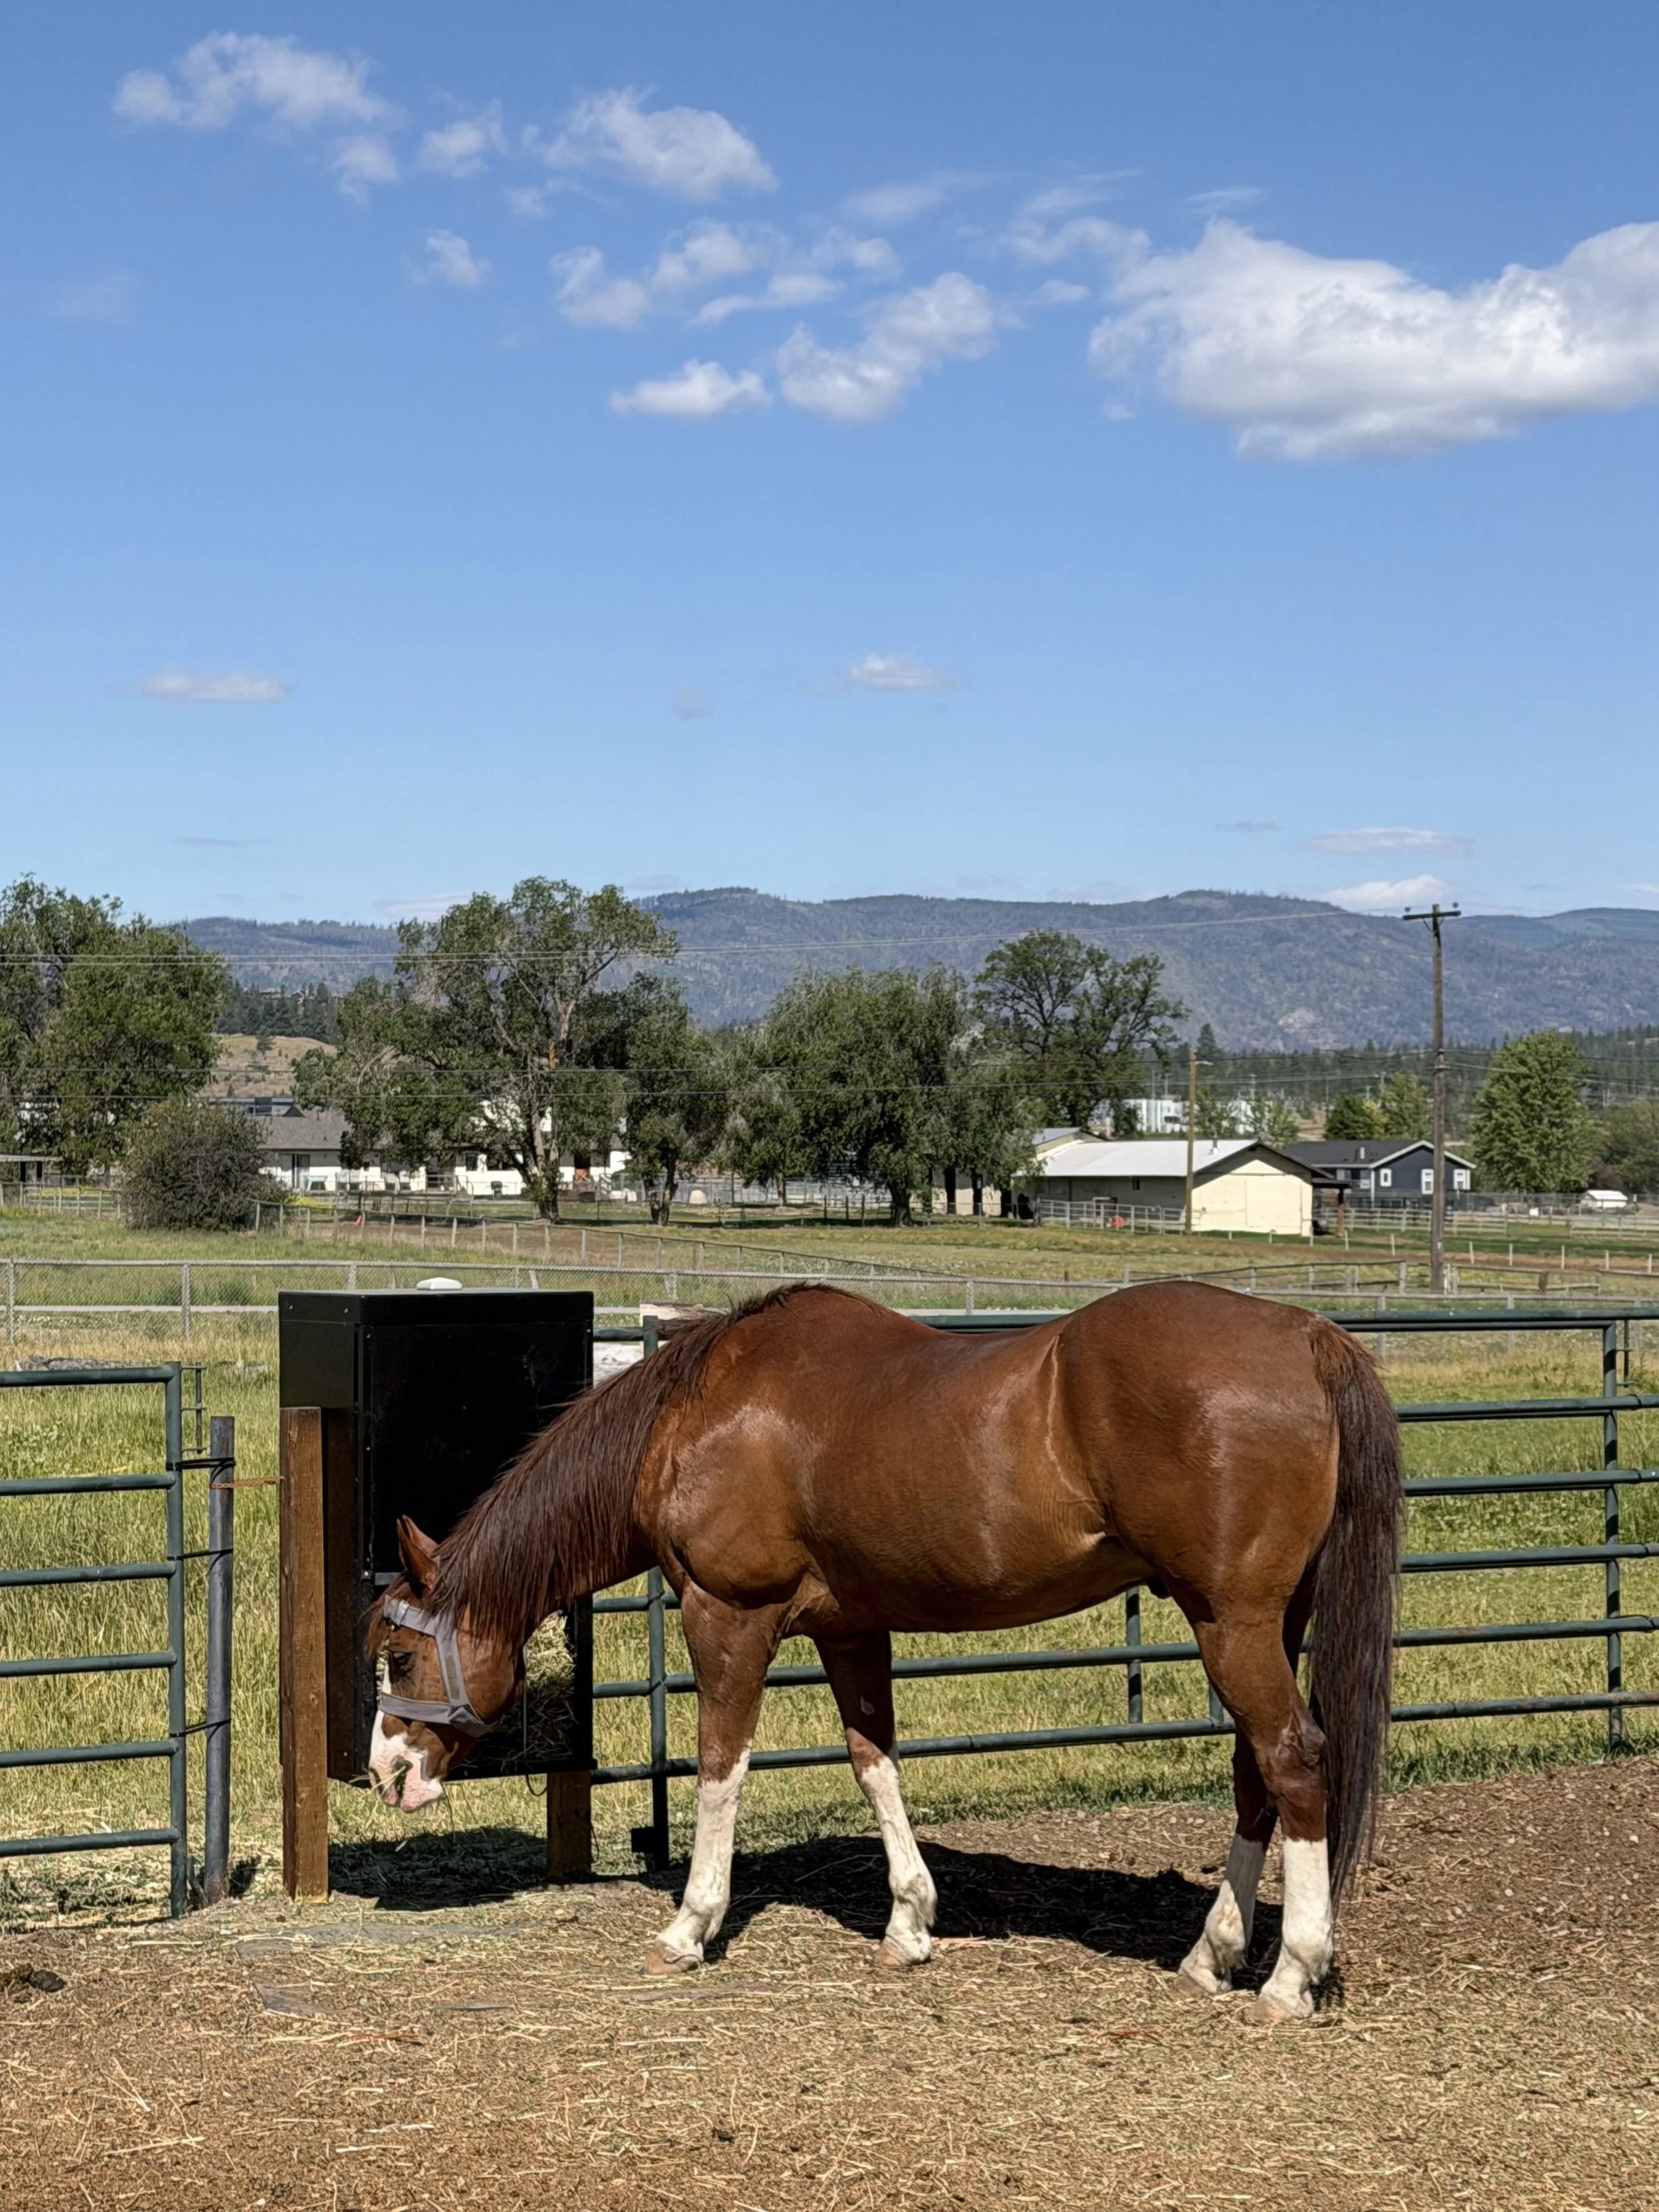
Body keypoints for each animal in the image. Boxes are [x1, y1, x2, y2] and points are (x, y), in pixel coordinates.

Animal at [366, 1280, 1400, 2022]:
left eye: (397, 1656)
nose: (385, 1774)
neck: (698, 1414)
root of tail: (1309, 1337)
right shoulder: (851, 1628)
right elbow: (875, 1763)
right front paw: (909, 1922)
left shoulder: (727, 1616)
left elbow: (719, 1767)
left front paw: (691, 1925)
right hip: (1266, 1624)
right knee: (1255, 1772)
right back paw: (1210, 1956)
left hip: (1231, 1624)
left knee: (1295, 1761)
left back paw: (1291, 1976)